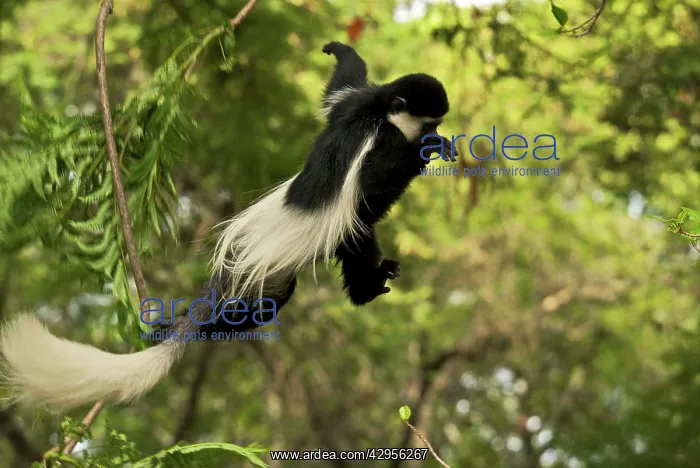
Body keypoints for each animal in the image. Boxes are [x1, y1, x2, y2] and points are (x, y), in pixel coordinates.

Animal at [0, 42, 455, 411]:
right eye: (430, 124)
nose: (436, 133)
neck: (379, 114)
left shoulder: (353, 103)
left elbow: (339, 90)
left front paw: (341, 51)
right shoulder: (379, 143)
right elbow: (375, 186)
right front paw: (428, 150)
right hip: (269, 269)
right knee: (349, 237)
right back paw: (366, 288)